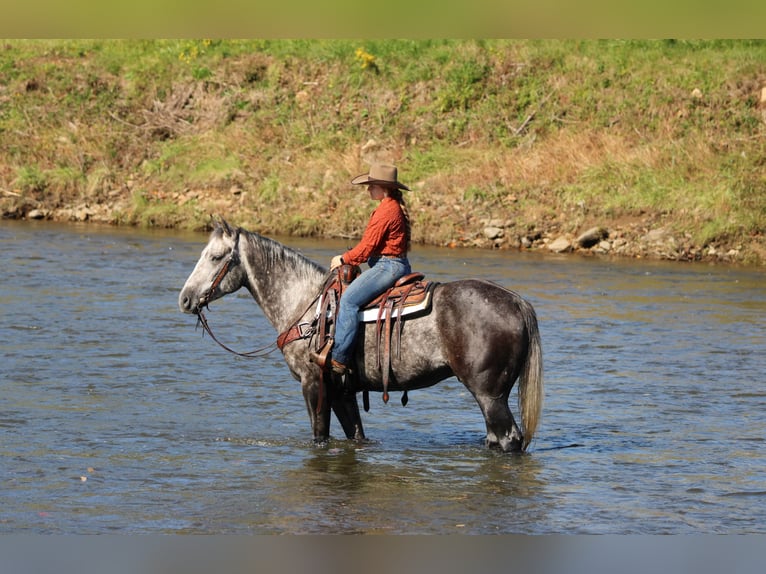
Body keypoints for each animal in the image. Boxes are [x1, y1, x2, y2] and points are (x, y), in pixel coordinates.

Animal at [178, 219, 543, 452]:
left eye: (215, 257)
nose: (185, 299)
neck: (304, 304)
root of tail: (516, 301)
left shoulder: (314, 384)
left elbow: (319, 437)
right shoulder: (343, 391)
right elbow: (356, 435)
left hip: (489, 394)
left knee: (508, 439)